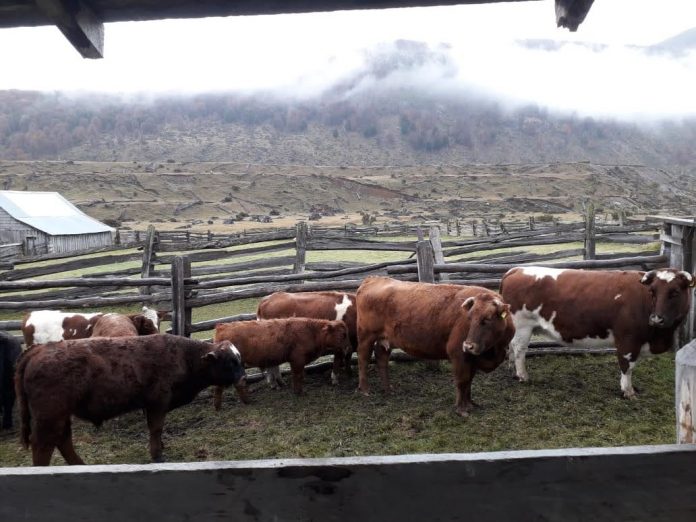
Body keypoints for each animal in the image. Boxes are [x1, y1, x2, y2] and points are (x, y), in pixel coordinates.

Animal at [13, 334, 249, 464]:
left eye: (239, 358)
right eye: (230, 362)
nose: (243, 377)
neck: (183, 355)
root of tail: (39, 349)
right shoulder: (158, 402)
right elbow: (156, 428)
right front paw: (157, 455)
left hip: (61, 416)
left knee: (62, 440)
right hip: (50, 416)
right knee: (43, 444)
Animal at [212, 316, 350, 406]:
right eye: (343, 334)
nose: (348, 348)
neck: (311, 331)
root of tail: (222, 326)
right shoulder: (297, 360)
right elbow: (298, 376)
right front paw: (299, 392)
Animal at [356, 276, 512, 414]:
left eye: (488, 319)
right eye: (469, 318)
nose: (468, 346)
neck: (494, 350)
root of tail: (373, 279)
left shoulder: (471, 359)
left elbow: (469, 381)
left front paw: (470, 404)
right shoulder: (458, 354)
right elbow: (462, 381)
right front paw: (461, 409)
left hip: (385, 339)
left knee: (382, 358)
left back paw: (388, 389)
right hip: (366, 337)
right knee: (363, 358)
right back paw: (365, 389)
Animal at [498, 266, 692, 396]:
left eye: (675, 292)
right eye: (652, 291)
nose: (656, 319)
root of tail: (517, 269)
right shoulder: (628, 339)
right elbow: (627, 365)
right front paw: (628, 391)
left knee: (512, 348)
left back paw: (512, 369)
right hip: (523, 325)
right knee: (519, 349)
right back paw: (523, 376)